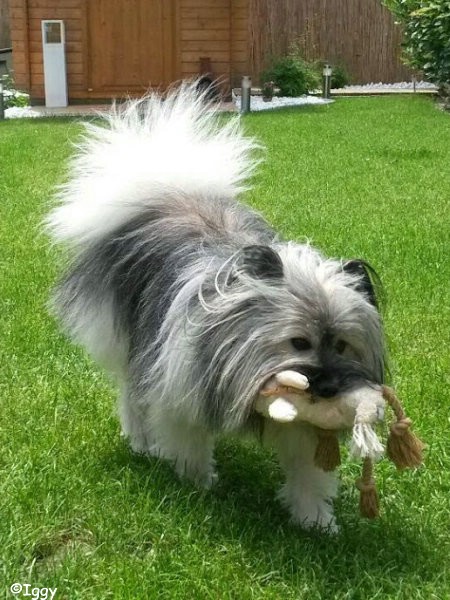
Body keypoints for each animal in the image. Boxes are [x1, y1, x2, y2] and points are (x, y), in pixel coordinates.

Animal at [44, 82, 384, 532]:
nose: (327, 387)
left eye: (343, 345)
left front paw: (314, 519)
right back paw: (141, 442)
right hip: (129, 342)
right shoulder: (179, 388)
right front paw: (198, 485)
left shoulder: (305, 427)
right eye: (298, 343)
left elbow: (307, 471)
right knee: (132, 395)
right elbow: (189, 442)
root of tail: (164, 193)